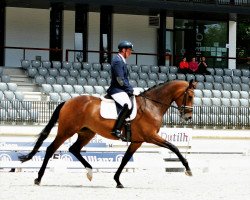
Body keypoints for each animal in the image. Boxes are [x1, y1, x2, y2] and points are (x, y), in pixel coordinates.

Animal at [19, 79, 195, 188]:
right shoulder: (150, 137)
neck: (152, 105)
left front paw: (117, 181)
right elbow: (174, 147)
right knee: (51, 149)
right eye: (191, 96)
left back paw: (90, 171)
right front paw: (188, 169)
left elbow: (125, 159)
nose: (188, 117)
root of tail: (68, 101)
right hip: (66, 131)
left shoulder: (137, 141)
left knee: (74, 149)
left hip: (86, 133)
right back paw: (38, 178)